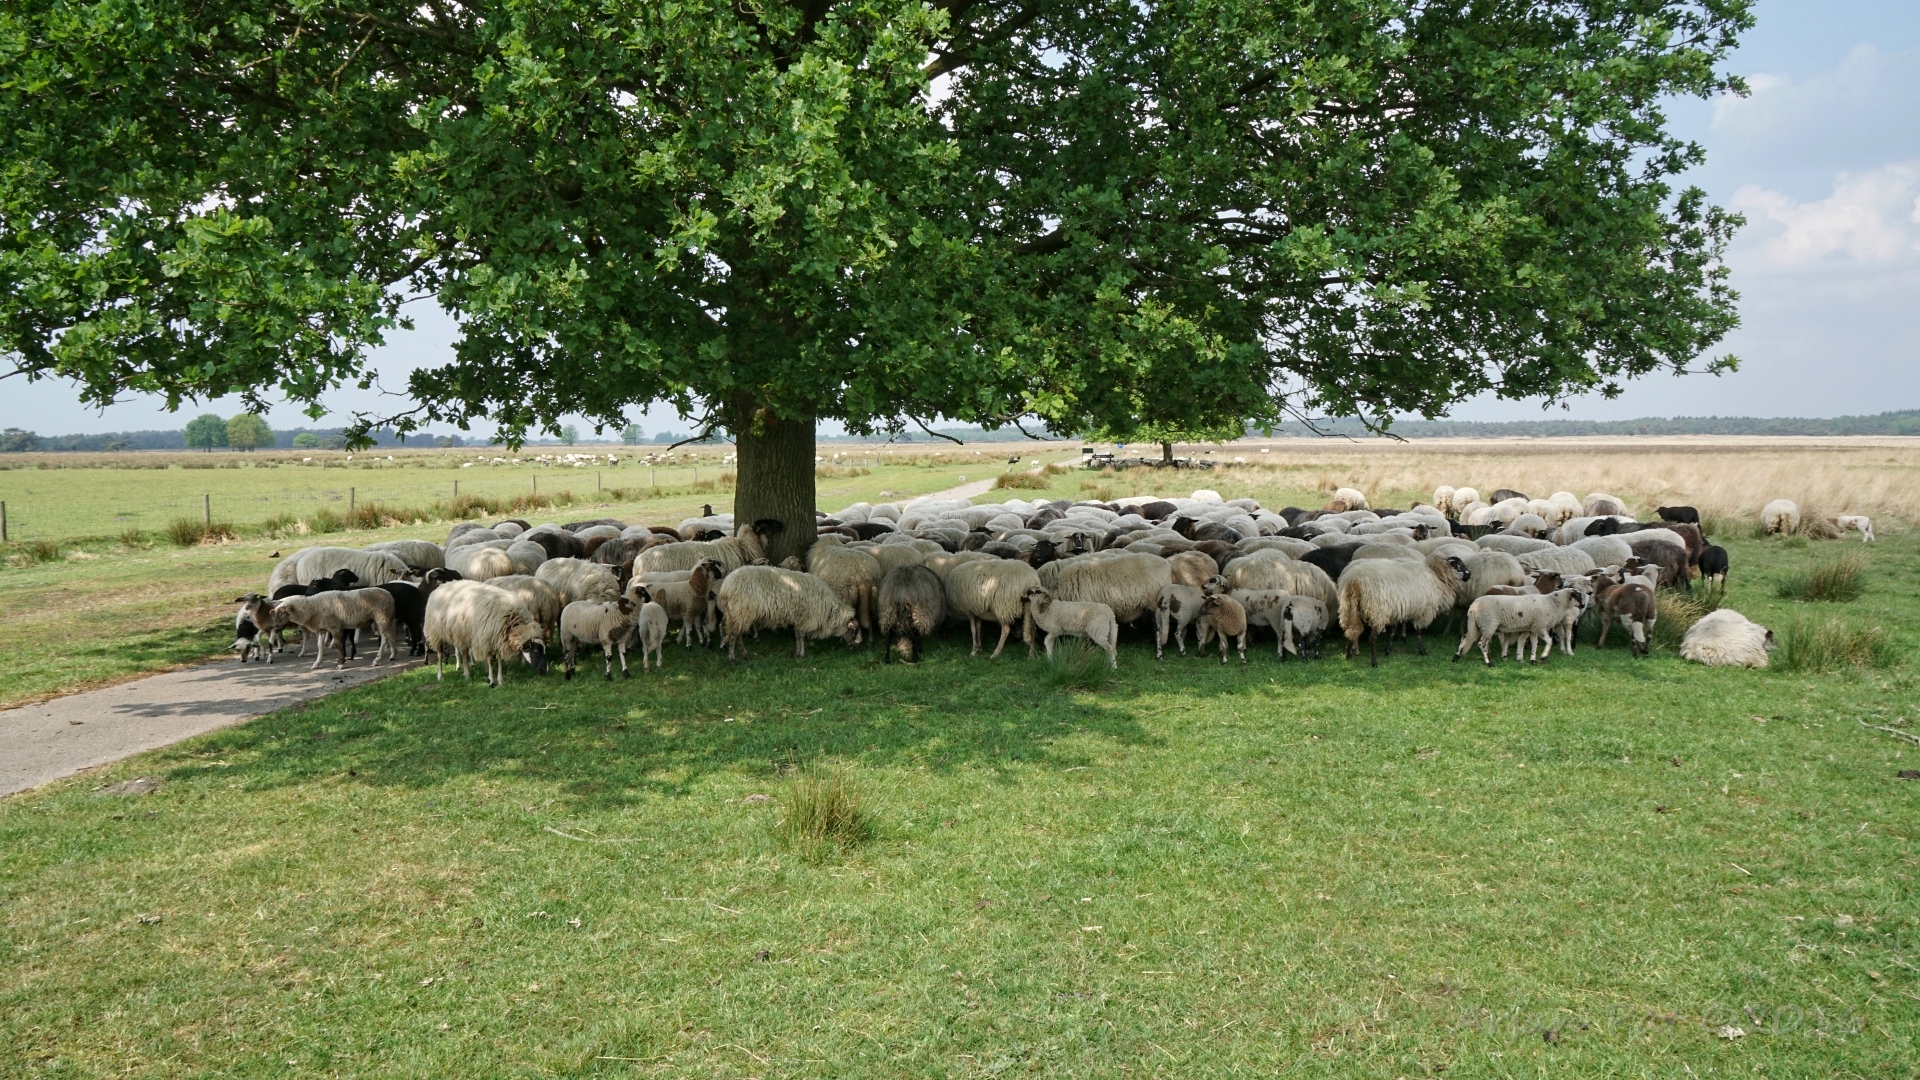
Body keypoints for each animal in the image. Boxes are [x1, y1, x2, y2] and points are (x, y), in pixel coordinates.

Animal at [717, 566, 860, 660]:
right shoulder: (806, 618)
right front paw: (802, 654)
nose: (854, 647)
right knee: (734, 635)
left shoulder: (799, 618)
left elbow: (797, 635)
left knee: (737, 635)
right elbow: (801, 636)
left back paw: (744, 655)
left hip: (734, 614)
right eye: (853, 631)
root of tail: (725, 587)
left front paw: (797, 652)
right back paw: (732, 658)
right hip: (741, 612)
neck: (828, 609)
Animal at [1338, 554, 1471, 666]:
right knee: (1372, 638)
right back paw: (1374, 662)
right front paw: (1422, 651)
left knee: (1350, 631)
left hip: (1349, 608)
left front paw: (1388, 650)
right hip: (1377, 611)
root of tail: (1354, 580)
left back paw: (1348, 656)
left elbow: (1393, 631)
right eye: (1458, 565)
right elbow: (1418, 632)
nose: (1469, 574)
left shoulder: (1397, 610)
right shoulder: (1423, 611)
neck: (1438, 575)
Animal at [1453, 589, 1588, 665]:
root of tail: (1473, 607)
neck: (1553, 603)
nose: (1582, 605)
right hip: (1488, 624)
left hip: (1476, 625)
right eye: (1578, 596)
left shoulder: (1533, 628)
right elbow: (1549, 641)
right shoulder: (1540, 626)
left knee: (1465, 637)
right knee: (1482, 644)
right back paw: (1489, 662)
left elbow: (1534, 644)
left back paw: (1456, 657)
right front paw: (1543, 657)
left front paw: (1532, 660)